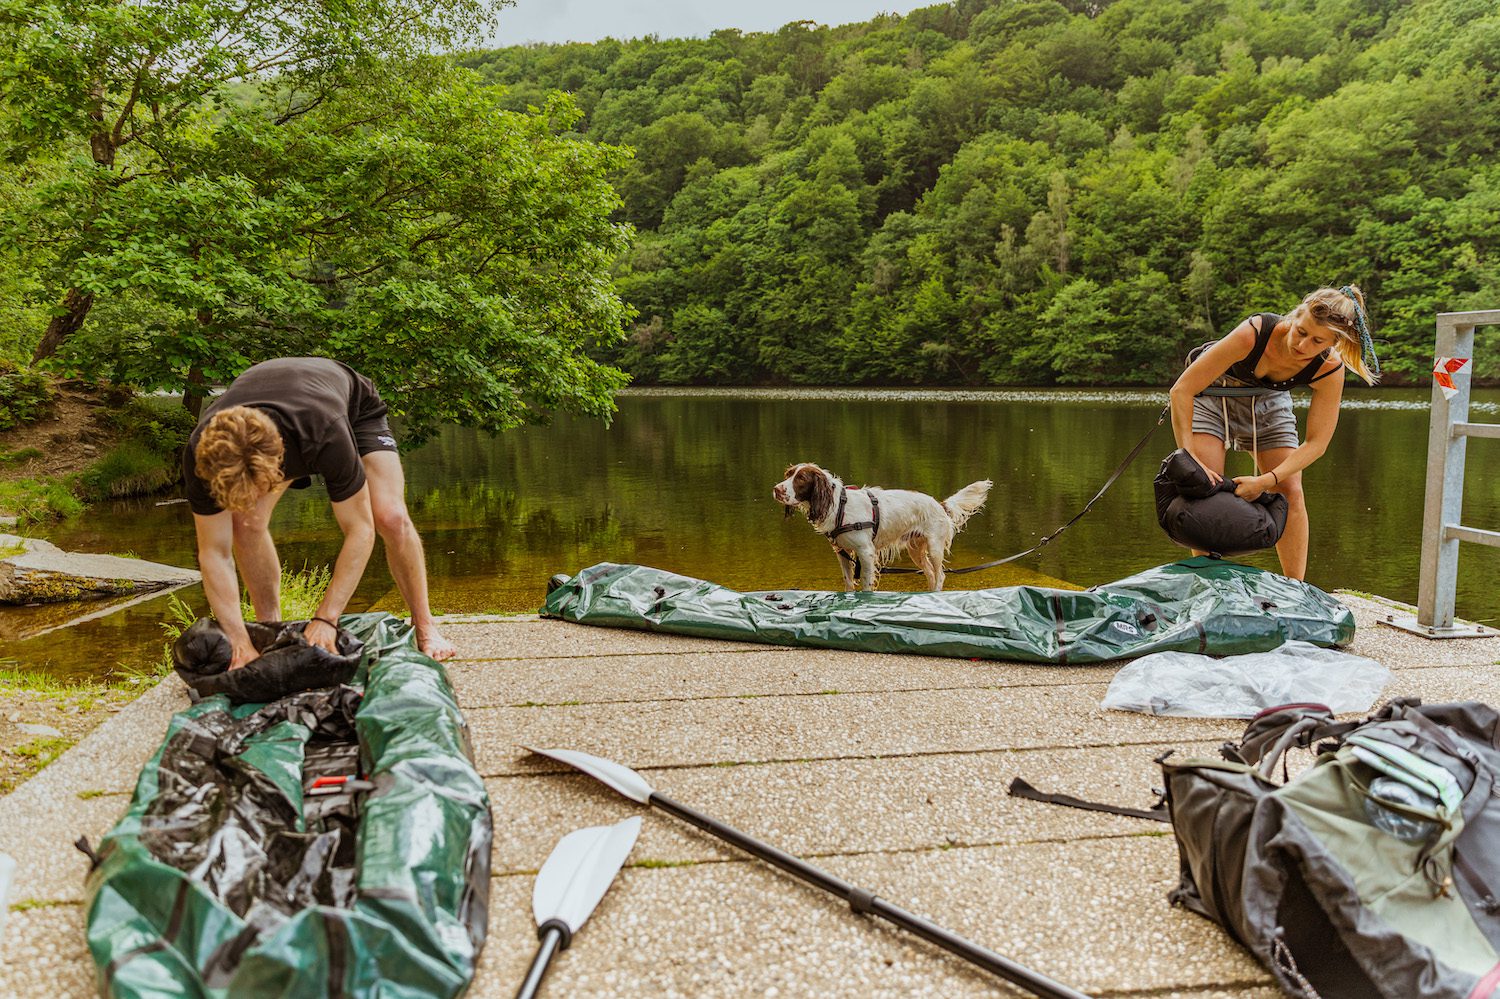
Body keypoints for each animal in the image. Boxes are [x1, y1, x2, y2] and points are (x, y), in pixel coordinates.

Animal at [774, 462, 996, 591]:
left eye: (801, 478)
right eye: (788, 474)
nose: (776, 489)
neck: (839, 506)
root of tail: (940, 504)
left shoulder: (866, 552)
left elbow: (866, 585)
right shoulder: (842, 553)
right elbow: (848, 583)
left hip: (934, 547)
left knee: (940, 575)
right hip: (916, 551)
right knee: (931, 574)